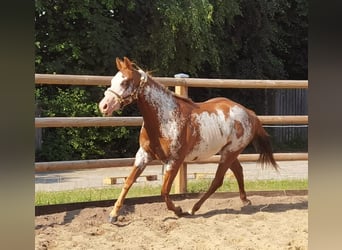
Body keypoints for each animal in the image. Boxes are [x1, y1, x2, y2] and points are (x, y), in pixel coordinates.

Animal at [98, 57, 278, 223]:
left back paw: (193, 208)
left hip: (230, 152)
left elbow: (164, 191)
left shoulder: (175, 160)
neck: (165, 119)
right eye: (113, 81)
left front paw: (178, 210)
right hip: (228, 152)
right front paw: (113, 215)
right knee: (238, 171)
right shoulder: (143, 155)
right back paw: (245, 200)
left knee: (217, 180)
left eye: (125, 82)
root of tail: (249, 113)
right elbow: (128, 182)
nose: (103, 106)